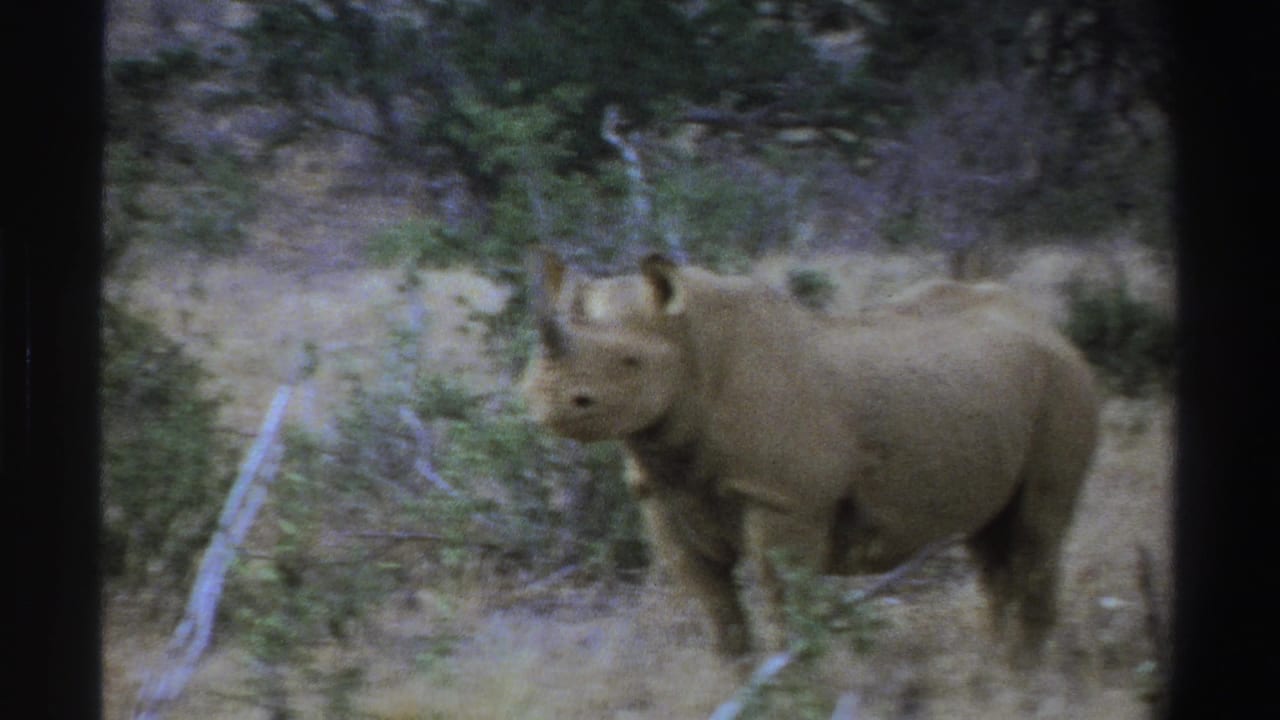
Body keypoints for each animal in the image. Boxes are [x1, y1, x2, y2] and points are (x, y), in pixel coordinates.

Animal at [520, 250, 1099, 661]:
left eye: (631, 362)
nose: (548, 399)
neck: (692, 345)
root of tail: (1049, 327)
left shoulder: (786, 500)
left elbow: (783, 609)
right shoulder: (665, 496)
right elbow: (719, 616)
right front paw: (739, 685)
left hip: (1064, 384)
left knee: (1037, 532)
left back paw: (1022, 681)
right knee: (991, 545)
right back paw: (995, 667)